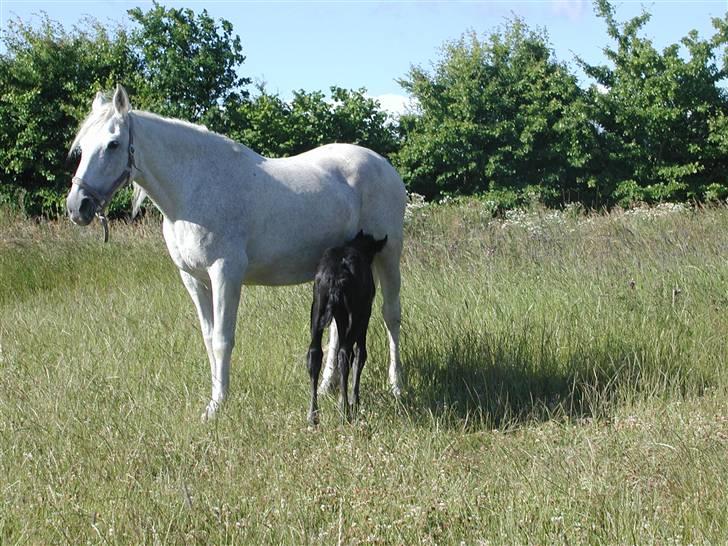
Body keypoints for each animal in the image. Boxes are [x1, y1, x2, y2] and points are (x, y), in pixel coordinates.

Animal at [306, 227, 386, 422]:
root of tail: (335, 278)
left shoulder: (340, 316)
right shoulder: (364, 312)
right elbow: (361, 353)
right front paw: (354, 400)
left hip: (317, 309)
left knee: (314, 353)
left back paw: (313, 414)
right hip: (356, 314)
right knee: (345, 353)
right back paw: (344, 410)